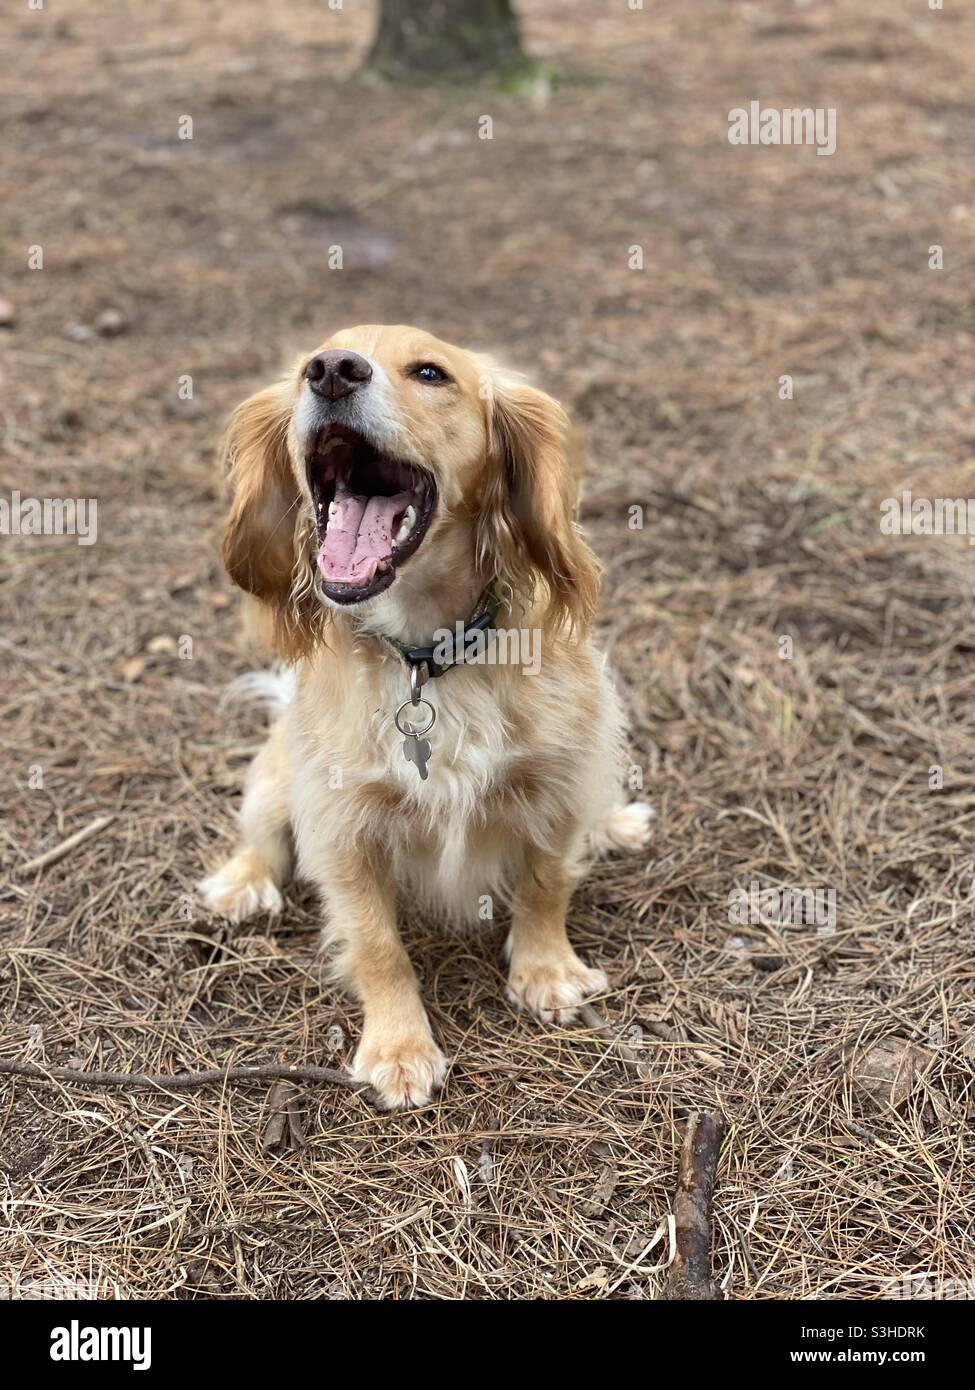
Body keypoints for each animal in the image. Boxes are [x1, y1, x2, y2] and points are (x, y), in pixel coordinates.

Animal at [198, 322, 650, 1106]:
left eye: (431, 373)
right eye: (308, 364)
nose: (331, 371)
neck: (426, 656)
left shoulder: (560, 784)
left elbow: (545, 883)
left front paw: (546, 973)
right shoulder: (342, 830)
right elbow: (378, 946)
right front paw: (399, 1047)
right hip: (276, 784)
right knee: (261, 838)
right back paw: (242, 883)